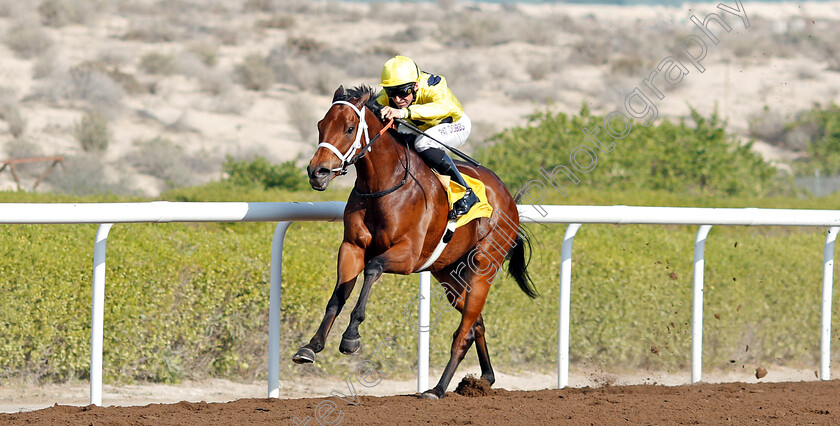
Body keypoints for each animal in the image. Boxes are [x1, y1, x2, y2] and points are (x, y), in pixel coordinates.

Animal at [296, 84, 536, 400]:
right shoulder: (351, 247)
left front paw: (351, 337)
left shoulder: (408, 256)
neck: (385, 184)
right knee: (476, 323)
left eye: (349, 128)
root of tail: (508, 198)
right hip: (450, 274)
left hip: (484, 265)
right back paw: (484, 378)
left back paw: (437, 388)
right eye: (320, 125)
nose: (317, 172)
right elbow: (338, 295)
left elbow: (372, 268)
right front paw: (311, 346)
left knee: (463, 333)